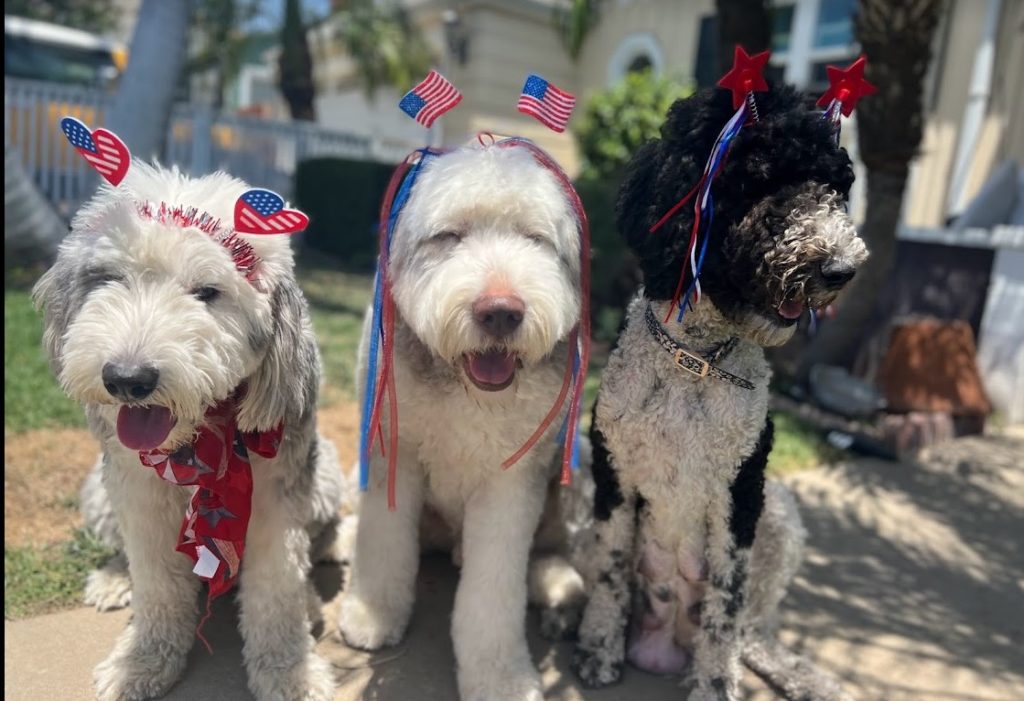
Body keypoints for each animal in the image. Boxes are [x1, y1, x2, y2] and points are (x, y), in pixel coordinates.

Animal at [34, 159, 346, 699]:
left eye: (207, 292)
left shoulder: (277, 490)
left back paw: (310, 600)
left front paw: (290, 671)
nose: (127, 379)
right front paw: (143, 661)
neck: (202, 442)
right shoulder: (139, 491)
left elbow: (278, 585)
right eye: (108, 278)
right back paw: (114, 579)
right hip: (98, 490)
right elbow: (157, 580)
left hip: (325, 475)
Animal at [339, 142, 589, 699]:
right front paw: (372, 614)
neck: (466, 390)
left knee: (550, 550)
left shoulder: (512, 480)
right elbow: (381, 541)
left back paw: (556, 585)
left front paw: (501, 677)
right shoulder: (392, 448)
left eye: (534, 239)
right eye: (449, 236)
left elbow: (494, 590)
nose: (500, 311)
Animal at [573, 83, 868, 699]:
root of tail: (664, 641)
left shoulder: (742, 496)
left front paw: (713, 684)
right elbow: (611, 573)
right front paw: (597, 649)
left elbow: (726, 607)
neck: (696, 363)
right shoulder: (614, 477)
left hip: (780, 513)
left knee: (750, 631)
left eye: (835, 190)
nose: (840, 269)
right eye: (759, 182)